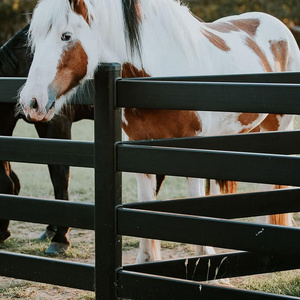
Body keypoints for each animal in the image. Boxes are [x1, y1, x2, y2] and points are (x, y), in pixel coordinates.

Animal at [0, 24, 94, 253]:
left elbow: (60, 176)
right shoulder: (42, 125)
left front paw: (60, 238)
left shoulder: (57, 123)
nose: (1, 235)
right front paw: (51, 229)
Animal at [19, 0, 300, 262]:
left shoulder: (192, 148)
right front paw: (146, 260)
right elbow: (146, 204)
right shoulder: (138, 148)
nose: (30, 102)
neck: (161, 79)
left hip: (277, 130)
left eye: (66, 36)